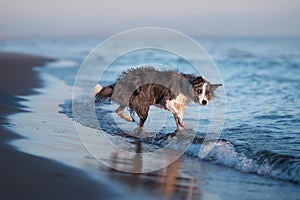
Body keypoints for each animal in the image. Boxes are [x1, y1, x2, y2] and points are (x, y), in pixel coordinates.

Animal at [91, 66, 220, 130]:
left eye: (207, 93)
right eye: (199, 91)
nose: (204, 102)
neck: (187, 85)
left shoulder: (179, 105)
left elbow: (178, 117)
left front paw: (181, 127)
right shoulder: (167, 101)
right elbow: (176, 113)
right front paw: (181, 123)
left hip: (133, 99)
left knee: (118, 110)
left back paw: (128, 119)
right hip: (141, 105)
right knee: (139, 120)